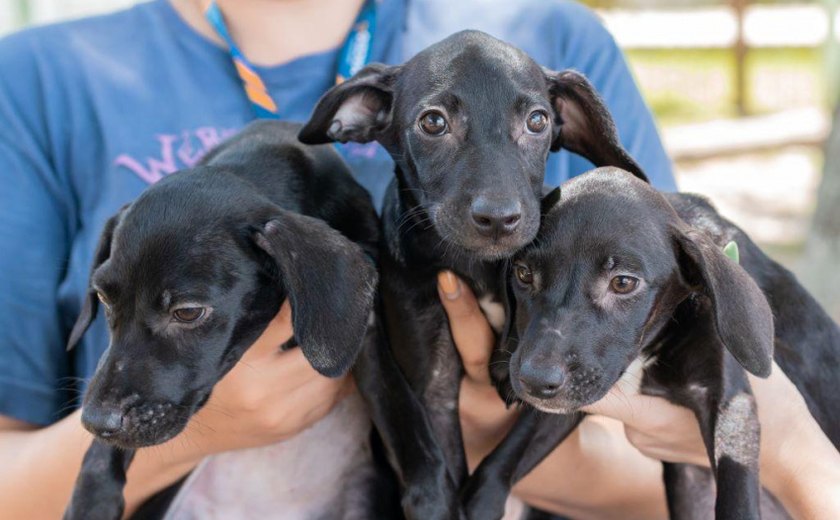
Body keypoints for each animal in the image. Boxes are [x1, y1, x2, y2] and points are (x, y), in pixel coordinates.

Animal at [298, 30, 648, 516]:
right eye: (433, 123)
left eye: (538, 121)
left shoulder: (570, 382)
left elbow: (513, 447)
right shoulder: (434, 383)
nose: (499, 218)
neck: (479, 269)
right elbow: (435, 461)